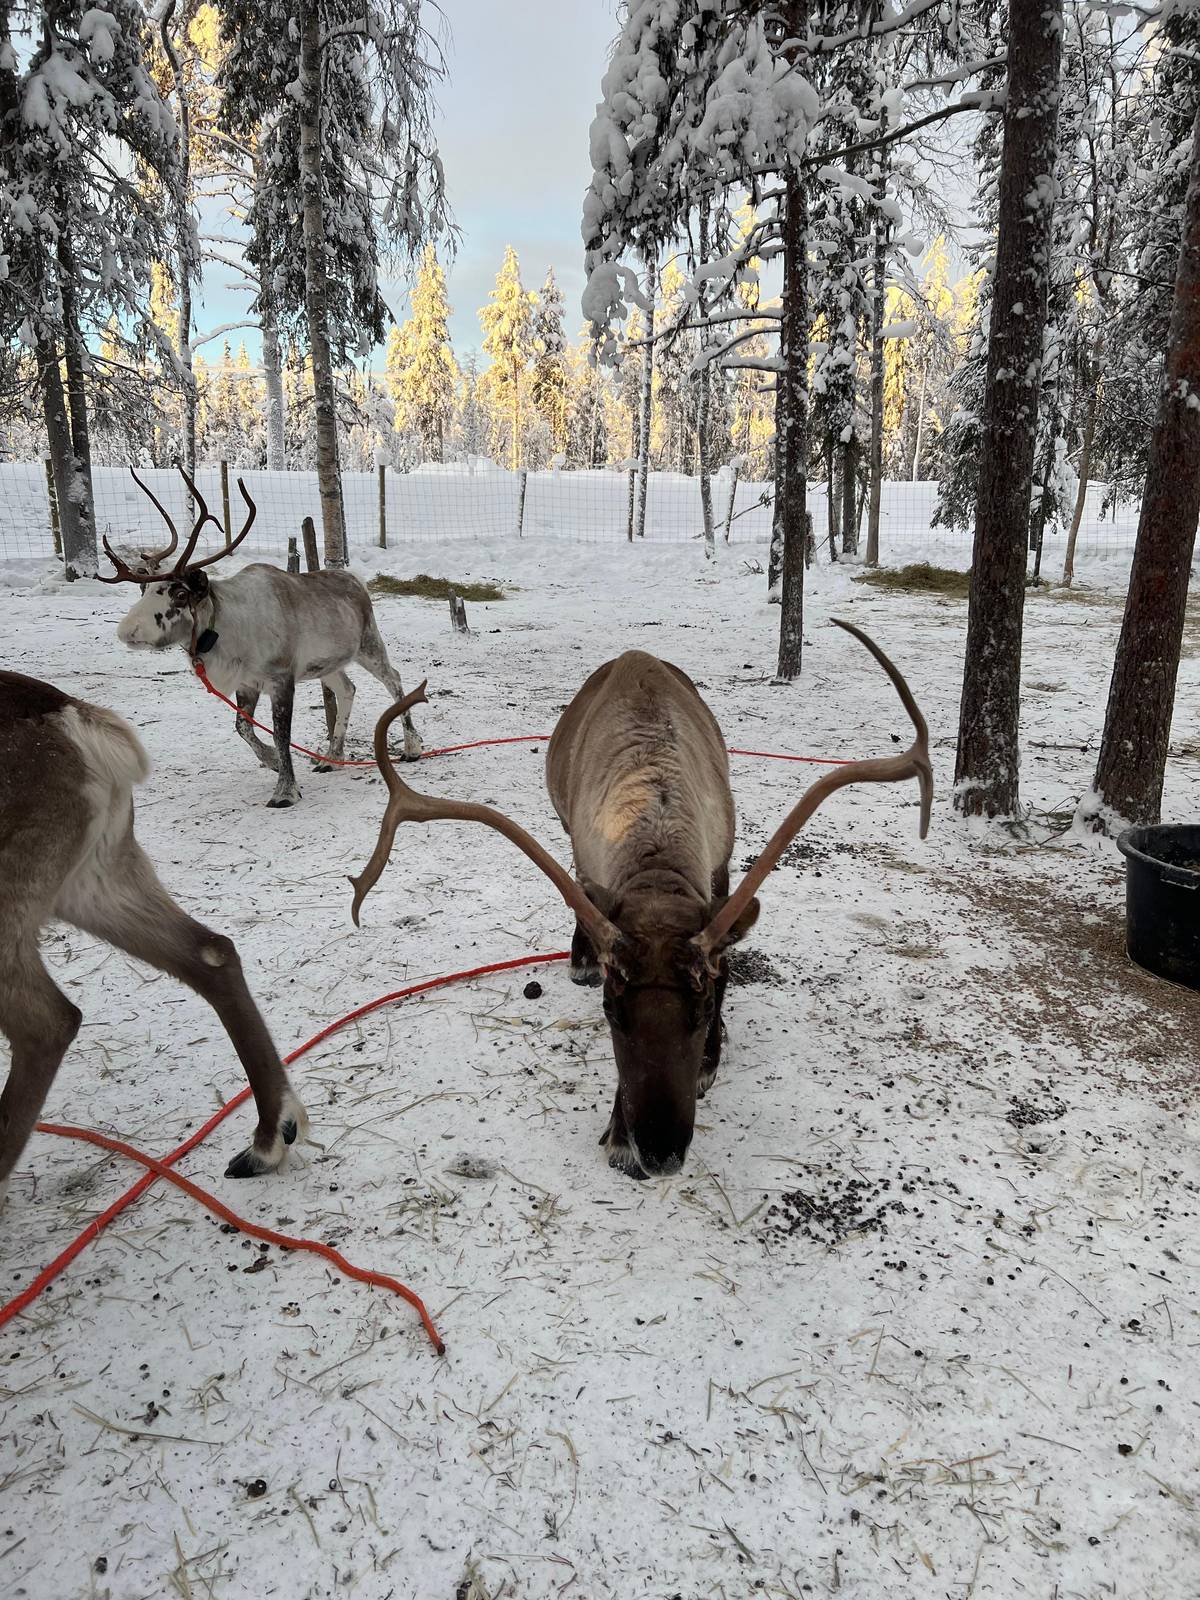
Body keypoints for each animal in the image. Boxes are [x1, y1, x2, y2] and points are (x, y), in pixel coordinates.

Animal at [101, 470, 424, 807]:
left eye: (179, 594)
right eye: (144, 589)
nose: (127, 631)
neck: (228, 627)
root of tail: (354, 579)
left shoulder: (282, 678)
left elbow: (281, 733)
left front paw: (285, 790)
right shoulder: (247, 683)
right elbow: (243, 726)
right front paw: (272, 761)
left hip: (368, 644)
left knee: (394, 679)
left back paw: (411, 746)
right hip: (328, 664)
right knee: (347, 689)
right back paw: (333, 757)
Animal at [348, 619, 933, 1180]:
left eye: (703, 1007)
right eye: (611, 1010)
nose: (661, 1153)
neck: (655, 861)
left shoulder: (719, 875)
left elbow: (727, 967)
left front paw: (707, 1063)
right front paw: (619, 1137)